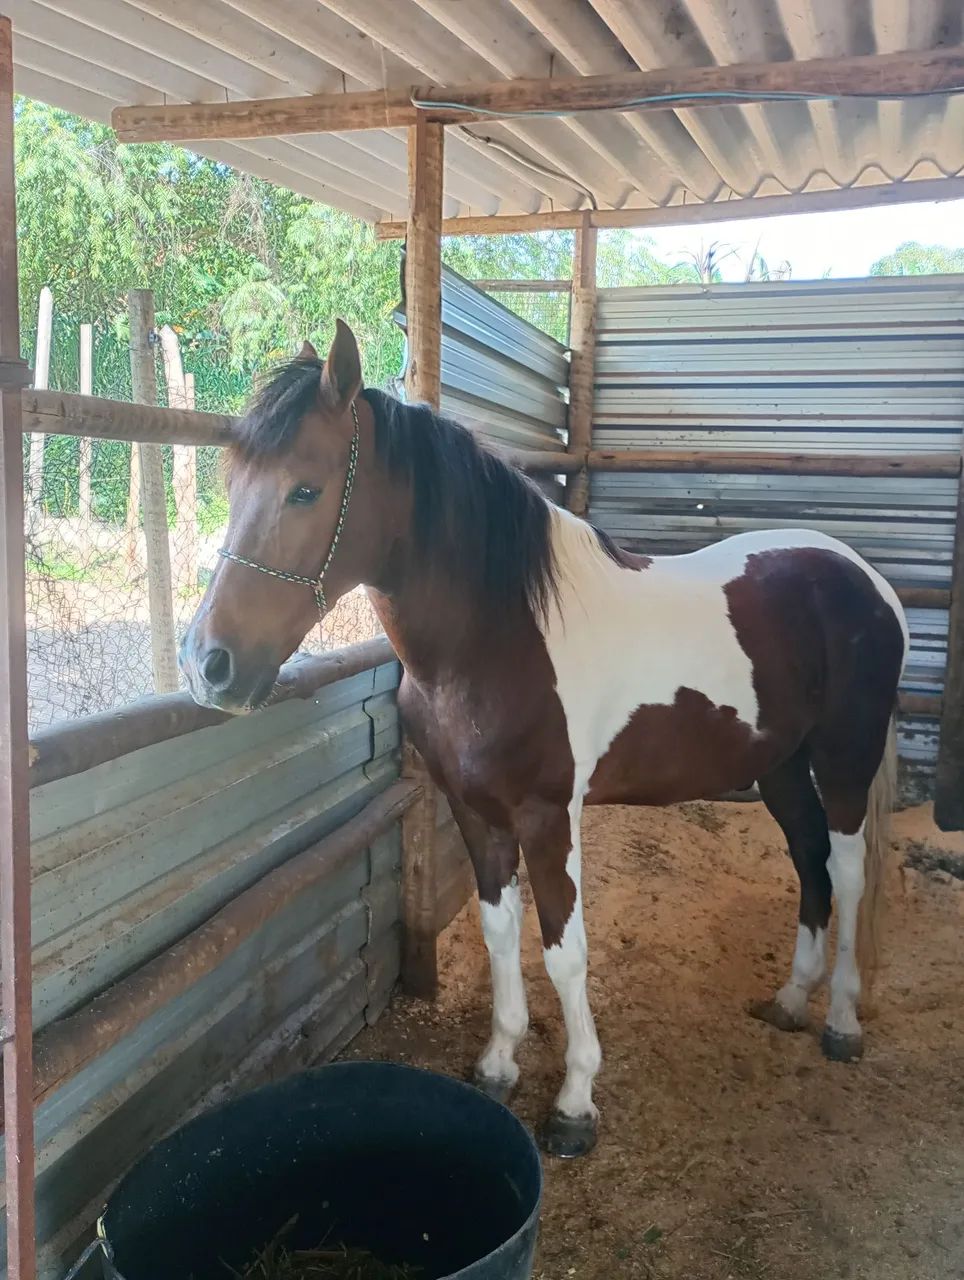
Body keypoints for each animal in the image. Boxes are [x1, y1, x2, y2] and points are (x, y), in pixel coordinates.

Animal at [180, 320, 907, 1159]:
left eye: (305, 488)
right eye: (234, 484)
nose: (208, 665)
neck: (498, 636)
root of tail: (863, 578)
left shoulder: (547, 815)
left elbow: (565, 950)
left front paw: (575, 1102)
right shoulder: (475, 811)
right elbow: (501, 930)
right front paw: (500, 1061)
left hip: (844, 760)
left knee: (848, 872)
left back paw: (842, 1021)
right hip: (782, 767)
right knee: (809, 861)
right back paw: (791, 1000)